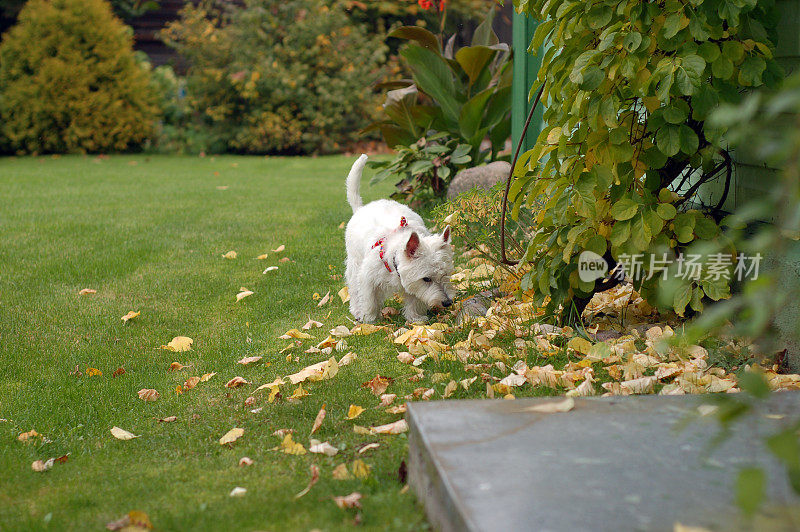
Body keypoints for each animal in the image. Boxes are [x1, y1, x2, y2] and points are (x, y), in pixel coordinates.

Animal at [346, 152, 456, 322]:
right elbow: (369, 299)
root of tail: (361, 208)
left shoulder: (411, 281)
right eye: (427, 279)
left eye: (445, 274)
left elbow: (414, 300)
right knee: (353, 287)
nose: (447, 302)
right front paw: (369, 319)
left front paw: (416, 318)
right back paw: (357, 310)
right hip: (354, 262)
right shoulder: (367, 277)